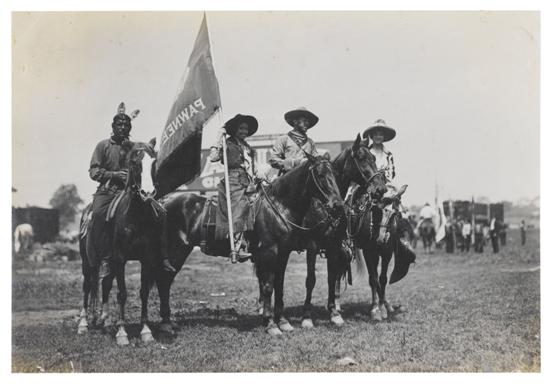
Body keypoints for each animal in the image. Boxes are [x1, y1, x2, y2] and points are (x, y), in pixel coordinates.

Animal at [78, 139, 166, 344]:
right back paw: (83, 324)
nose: (148, 193)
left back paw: (105, 321)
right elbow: (122, 294)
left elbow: (143, 292)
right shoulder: (119, 259)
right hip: (88, 261)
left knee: (104, 285)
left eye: (154, 162)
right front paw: (122, 333)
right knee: (87, 286)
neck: (136, 217)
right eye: (134, 162)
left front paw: (146, 331)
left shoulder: (146, 259)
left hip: (108, 262)